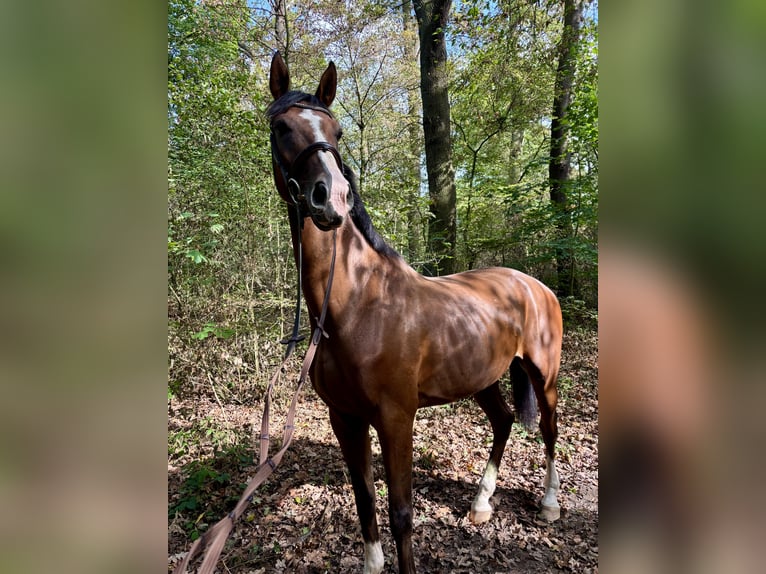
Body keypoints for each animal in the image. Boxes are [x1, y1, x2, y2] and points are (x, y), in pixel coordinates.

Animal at [267, 51, 563, 574]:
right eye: (282, 126)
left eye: (336, 130)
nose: (331, 197)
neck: (359, 305)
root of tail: (535, 286)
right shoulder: (345, 417)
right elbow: (365, 500)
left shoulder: (396, 417)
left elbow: (401, 512)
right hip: (483, 377)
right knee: (504, 421)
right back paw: (481, 503)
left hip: (542, 373)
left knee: (548, 430)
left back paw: (548, 504)